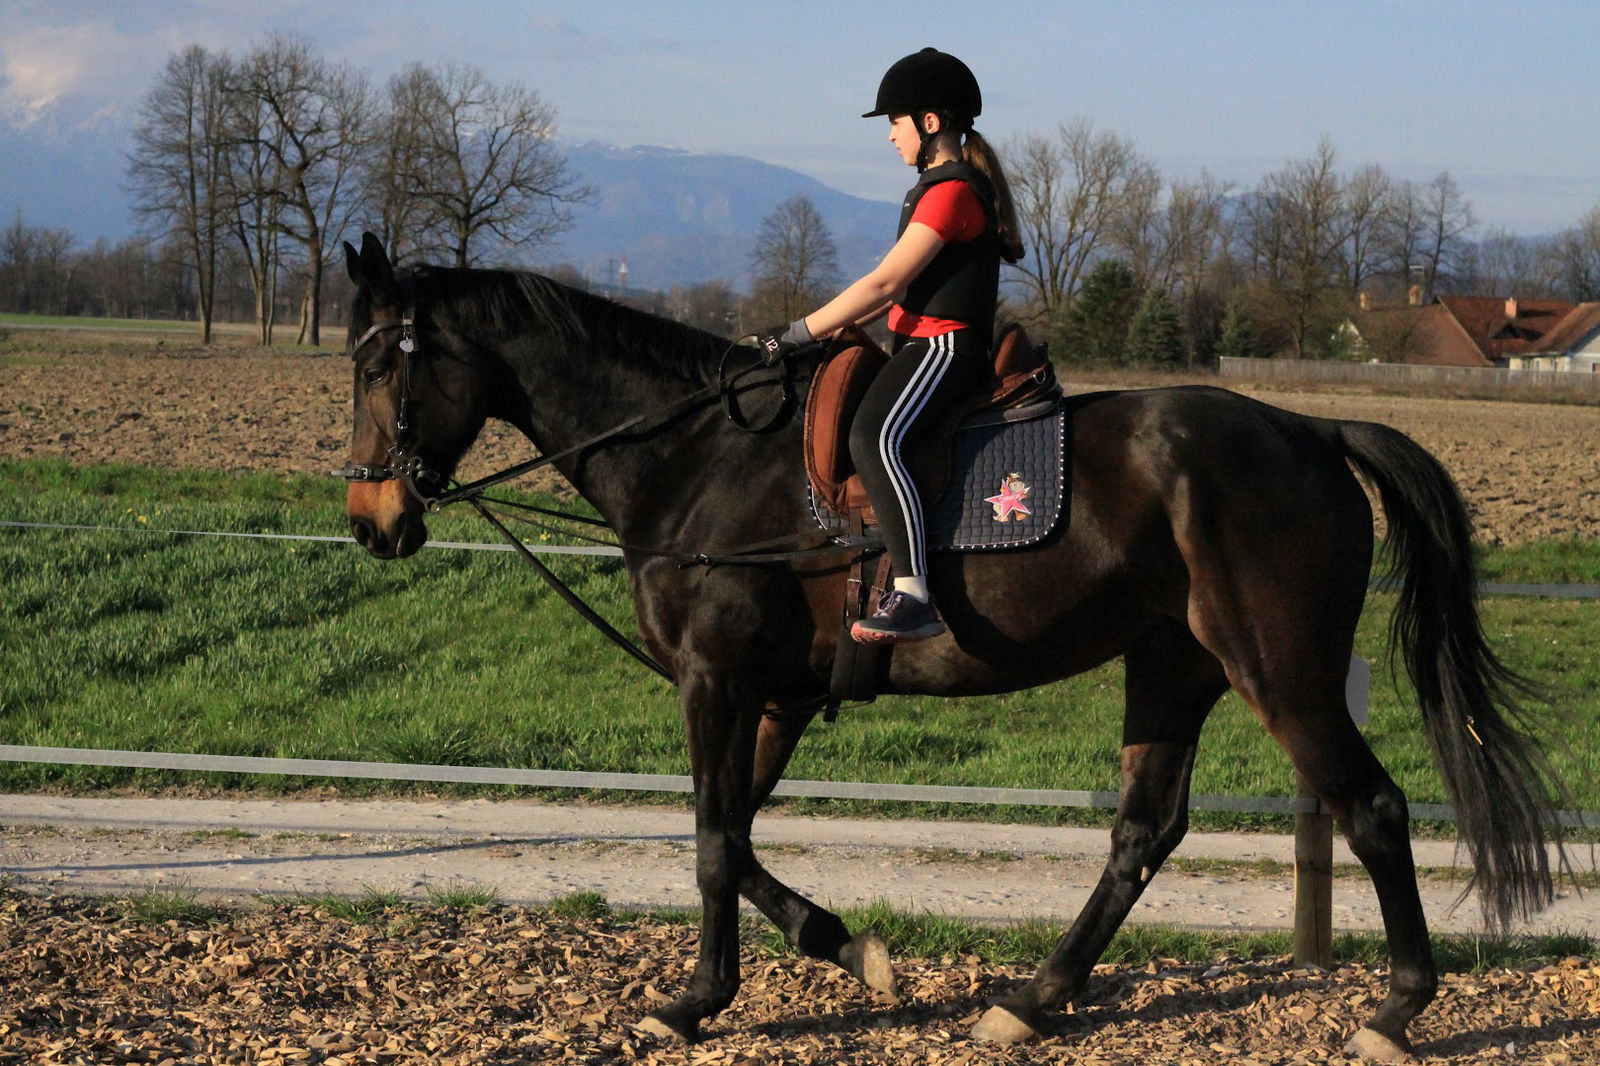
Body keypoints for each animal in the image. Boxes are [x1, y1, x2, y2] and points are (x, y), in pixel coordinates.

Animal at [337, 232, 1561, 1056]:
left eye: (377, 367)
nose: (371, 520)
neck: (695, 458)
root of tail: (1308, 427)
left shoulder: (715, 682)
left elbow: (712, 846)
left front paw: (694, 1003)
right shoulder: (771, 695)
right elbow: (736, 836)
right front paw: (844, 946)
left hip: (1280, 669)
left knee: (1372, 809)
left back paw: (1395, 1011)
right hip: (1172, 665)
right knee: (1142, 832)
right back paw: (1031, 1000)